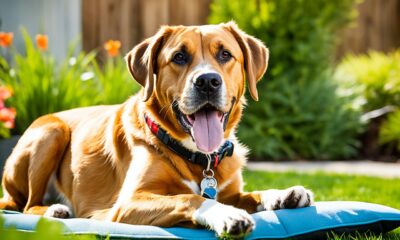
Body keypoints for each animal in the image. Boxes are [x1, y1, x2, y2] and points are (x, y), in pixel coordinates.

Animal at [0, 22, 312, 238]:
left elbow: (249, 195)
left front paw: (280, 194)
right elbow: (190, 198)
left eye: (225, 54)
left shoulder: (230, 190)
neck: (198, 157)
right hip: (51, 131)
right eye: (179, 57)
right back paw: (55, 210)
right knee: (27, 205)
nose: (207, 81)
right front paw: (225, 215)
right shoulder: (129, 203)